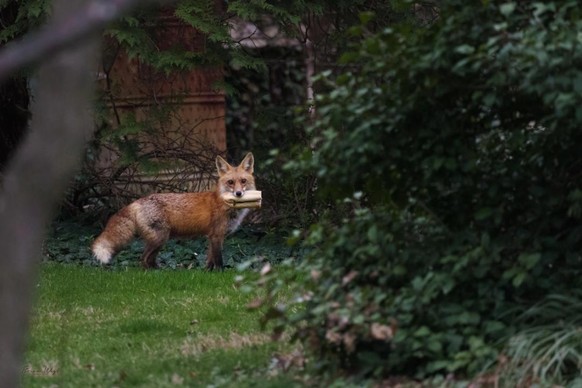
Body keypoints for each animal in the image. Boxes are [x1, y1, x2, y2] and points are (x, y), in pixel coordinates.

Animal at [91, 152, 256, 270]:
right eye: (230, 182)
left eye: (243, 181)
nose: (238, 193)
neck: (225, 203)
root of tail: (137, 201)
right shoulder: (216, 236)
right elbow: (219, 261)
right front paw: (220, 275)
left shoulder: (211, 237)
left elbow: (209, 261)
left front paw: (207, 273)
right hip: (160, 238)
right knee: (143, 259)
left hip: (158, 240)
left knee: (149, 259)